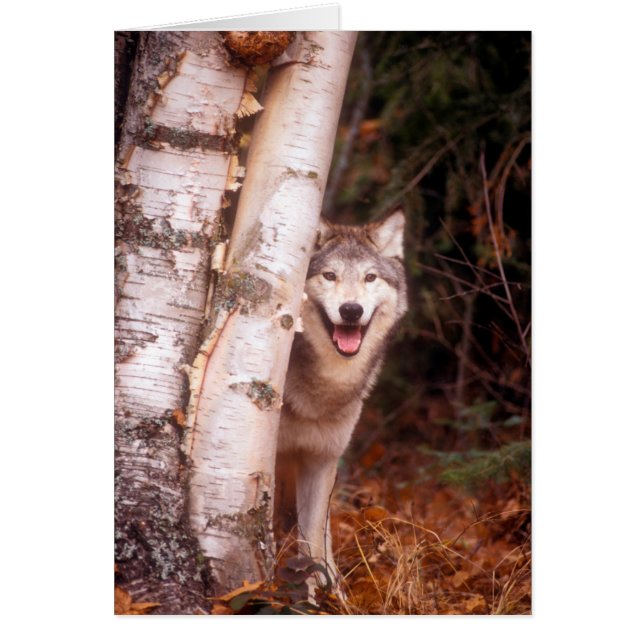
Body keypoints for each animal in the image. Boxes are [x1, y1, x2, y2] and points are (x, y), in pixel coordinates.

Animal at [276, 208, 408, 593]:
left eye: (370, 277)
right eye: (330, 275)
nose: (351, 310)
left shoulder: (322, 459)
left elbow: (314, 537)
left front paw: (327, 591)